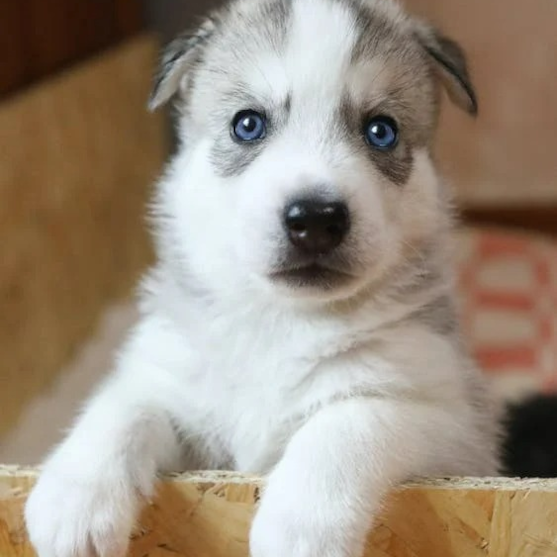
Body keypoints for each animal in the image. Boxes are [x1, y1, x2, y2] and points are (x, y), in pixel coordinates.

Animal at [23, 1, 500, 556]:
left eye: (381, 131)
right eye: (247, 125)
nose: (315, 218)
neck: (282, 322)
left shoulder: (448, 421)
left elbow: (347, 421)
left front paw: (300, 527)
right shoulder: (176, 385)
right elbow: (126, 404)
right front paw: (74, 495)